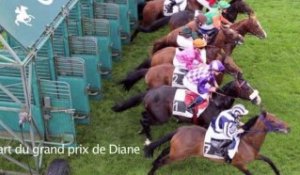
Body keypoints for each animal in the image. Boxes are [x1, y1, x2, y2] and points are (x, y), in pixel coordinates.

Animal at [111, 77, 262, 143]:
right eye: (246, 88)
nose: (258, 99)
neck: (218, 102)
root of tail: (149, 92)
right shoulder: (209, 124)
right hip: (160, 118)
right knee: (144, 120)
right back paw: (148, 139)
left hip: (153, 114)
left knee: (143, 117)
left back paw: (143, 131)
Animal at [144, 111, 290, 174]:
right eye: (272, 121)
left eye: (277, 117)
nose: (288, 127)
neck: (248, 142)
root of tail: (180, 129)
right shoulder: (239, 164)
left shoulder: (255, 155)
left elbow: (269, 160)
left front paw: (278, 172)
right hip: (178, 155)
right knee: (161, 162)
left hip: (176, 150)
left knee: (162, 153)